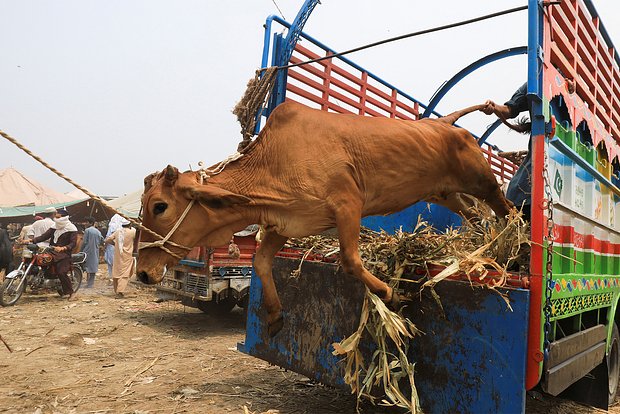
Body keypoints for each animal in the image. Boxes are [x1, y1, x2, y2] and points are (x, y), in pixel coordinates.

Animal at [138, 101, 512, 336]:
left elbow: (350, 260)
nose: (142, 273)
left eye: (159, 206)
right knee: (475, 213)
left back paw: (512, 240)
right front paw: (275, 316)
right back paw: (483, 243)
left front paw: (389, 293)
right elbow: (260, 263)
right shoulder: (286, 223)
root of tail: (444, 123)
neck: (271, 162)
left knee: (504, 204)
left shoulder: (348, 204)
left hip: (480, 178)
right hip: (444, 192)